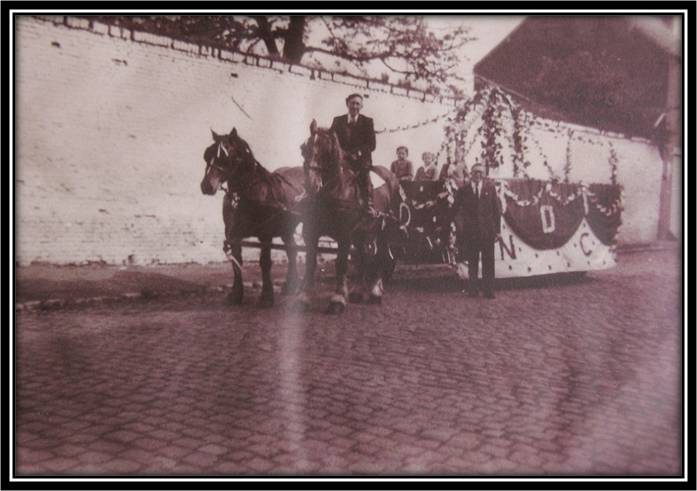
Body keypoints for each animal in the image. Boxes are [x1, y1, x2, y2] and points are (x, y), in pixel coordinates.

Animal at [198, 129, 302, 306]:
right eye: (207, 154)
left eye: (225, 156)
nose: (206, 186)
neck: (244, 195)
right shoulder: (233, 234)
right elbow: (236, 261)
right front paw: (236, 295)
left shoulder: (265, 234)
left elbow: (265, 262)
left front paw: (266, 297)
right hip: (286, 229)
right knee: (292, 250)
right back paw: (291, 286)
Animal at [296, 120, 400, 316]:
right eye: (304, 148)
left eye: (327, 151)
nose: (311, 185)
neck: (334, 190)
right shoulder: (311, 233)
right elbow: (310, 262)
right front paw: (304, 297)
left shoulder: (344, 234)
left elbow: (341, 264)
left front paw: (337, 299)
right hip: (361, 233)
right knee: (363, 257)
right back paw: (358, 291)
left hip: (384, 229)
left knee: (381, 256)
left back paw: (376, 292)